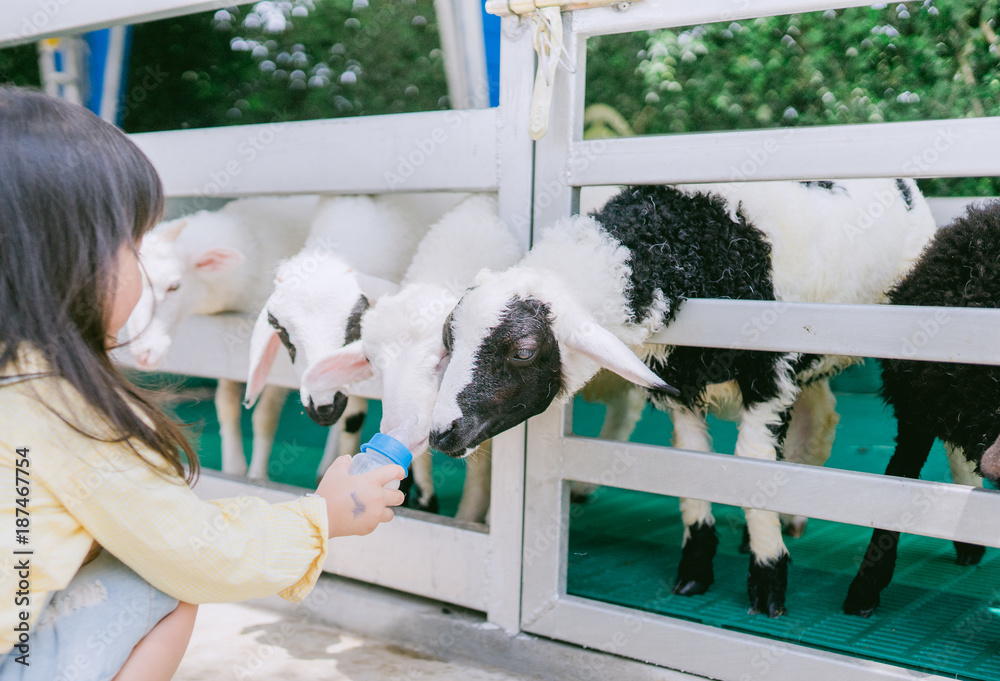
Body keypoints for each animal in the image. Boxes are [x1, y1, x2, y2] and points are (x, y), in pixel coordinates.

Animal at [125, 194, 318, 478]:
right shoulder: (226, 351)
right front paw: (233, 468)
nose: (143, 352)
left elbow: (266, 416)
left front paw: (257, 476)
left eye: (174, 286)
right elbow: (226, 406)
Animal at [430, 179, 936, 616]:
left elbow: (750, 469)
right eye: (449, 338)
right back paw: (791, 515)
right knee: (822, 419)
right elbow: (692, 468)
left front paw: (768, 579)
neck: (676, 240)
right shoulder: (680, 385)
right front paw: (695, 572)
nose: (440, 433)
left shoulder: (769, 376)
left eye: (523, 351)